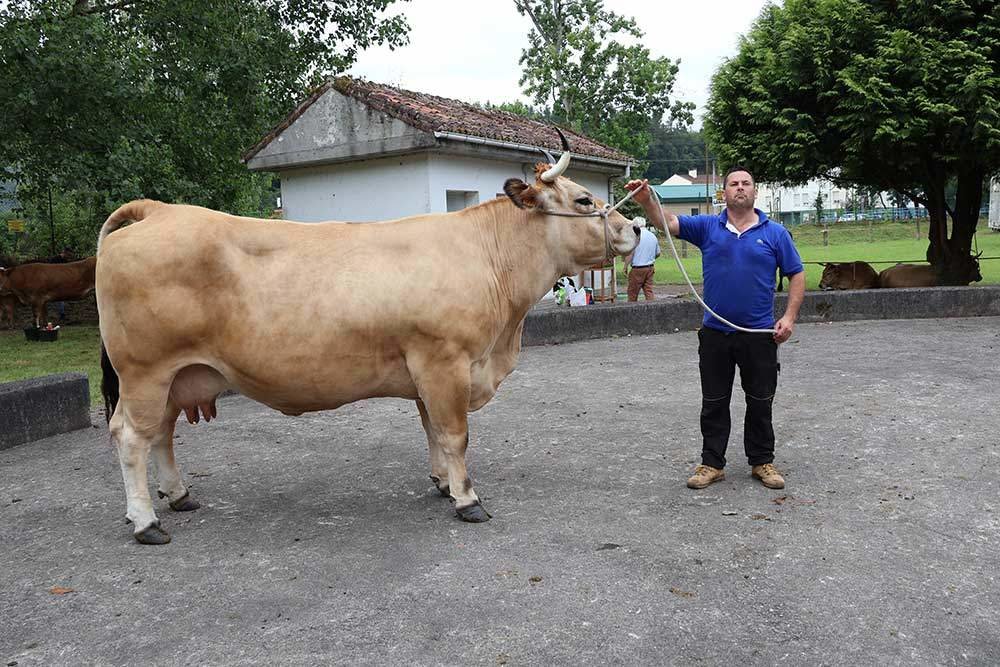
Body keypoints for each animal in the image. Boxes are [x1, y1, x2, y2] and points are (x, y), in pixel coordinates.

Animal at [99, 141, 640, 544]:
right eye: (584, 200)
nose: (634, 227)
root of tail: (157, 211)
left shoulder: (427, 369)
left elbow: (431, 430)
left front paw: (443, 483)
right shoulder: (445, 361)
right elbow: (454, 433)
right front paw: (468, 499)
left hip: (178, 374)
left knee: (161, 433)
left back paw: (178, 495)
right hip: (146, 370)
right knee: (130, 437)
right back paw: (146, 521)